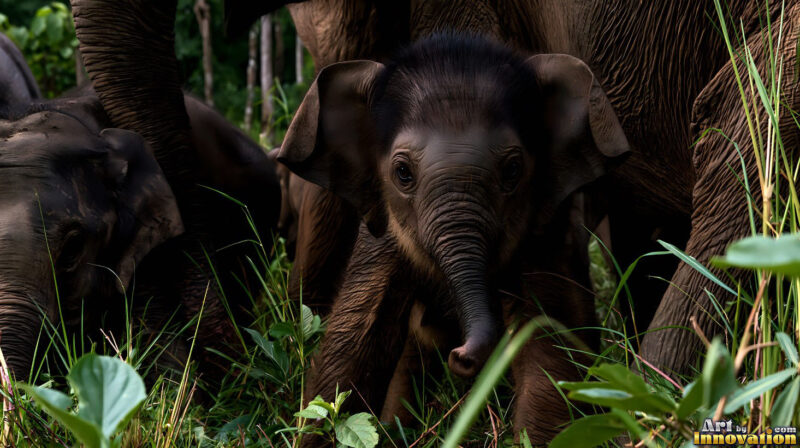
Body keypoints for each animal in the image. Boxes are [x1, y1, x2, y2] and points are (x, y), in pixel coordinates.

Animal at [274, 34, 629, 445]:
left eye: (512, 170)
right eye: (402, 172)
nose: (460, 355)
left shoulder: (550, 227)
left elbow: (552, 341)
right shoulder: (380, 238)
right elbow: (352, 341)